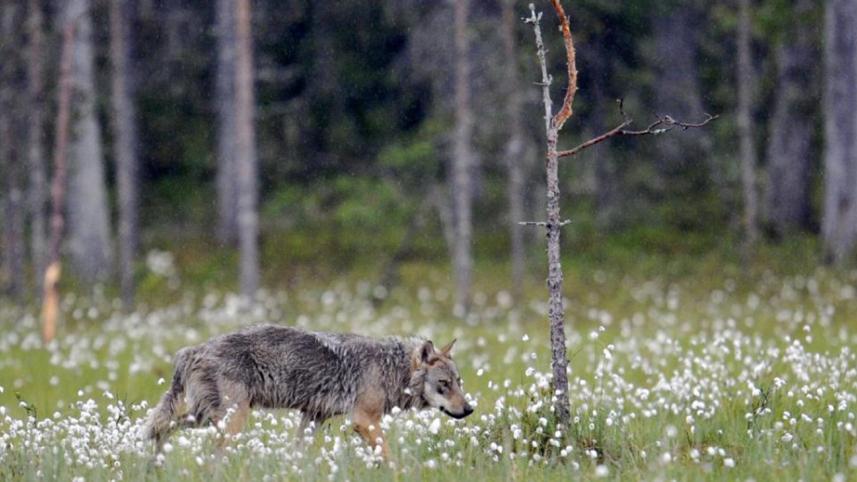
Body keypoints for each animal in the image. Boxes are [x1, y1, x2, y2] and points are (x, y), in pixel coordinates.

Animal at [144, 325, 473, 458]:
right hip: (231, 420)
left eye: (459, 382)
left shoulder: (313, 416)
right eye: (444, 385)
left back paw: (155, 466)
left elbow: (298, 452)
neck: (390, 366)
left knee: (161, 428)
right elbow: (389, 455)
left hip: (203, 418)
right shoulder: (363, 420)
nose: (470, 409)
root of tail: (192, 350)